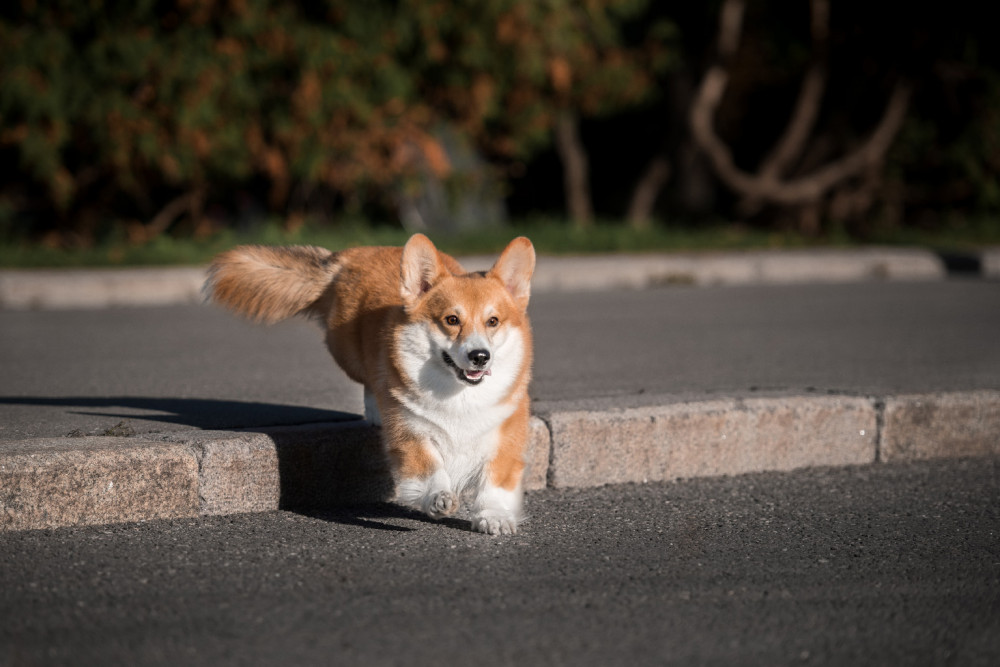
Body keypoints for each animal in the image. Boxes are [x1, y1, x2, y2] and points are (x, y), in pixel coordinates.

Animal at [201, 235, 532, 536]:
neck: (458, 394)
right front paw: (438, 498)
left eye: (493, 321)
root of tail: (352, 254)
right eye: (451, 320)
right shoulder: (411, 432)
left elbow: (495, 483)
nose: (480, 356)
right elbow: (428, 469)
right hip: (348, 354)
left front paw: (494, 517)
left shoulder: (505, 437)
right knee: (369, 381)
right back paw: (374, 410)